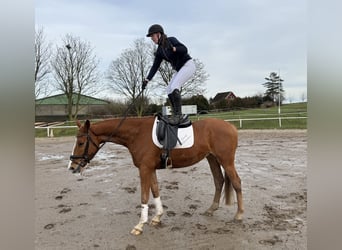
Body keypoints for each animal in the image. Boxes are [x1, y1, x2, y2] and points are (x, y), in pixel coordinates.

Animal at [67, 116, 243, 235]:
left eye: (81, 143)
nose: (72, 167)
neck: (137, 134)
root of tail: (231, 126)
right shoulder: (150, 169)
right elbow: (155, 190)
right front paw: (157, 217)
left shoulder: (144, 169)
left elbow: (144, 196)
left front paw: (139, 225)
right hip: (212, 158)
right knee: (219, 180)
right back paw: (211, 209)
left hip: (226, 161)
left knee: (236, 182)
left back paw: (239, 215)